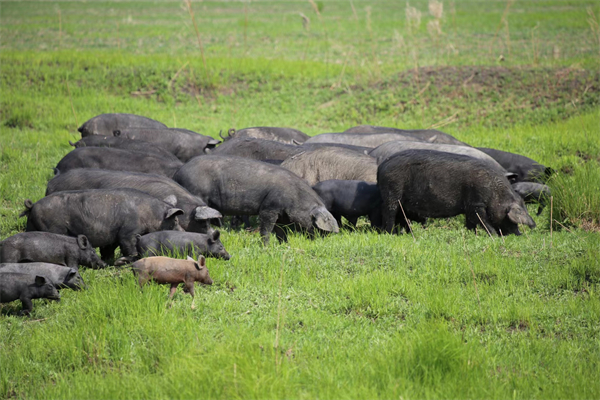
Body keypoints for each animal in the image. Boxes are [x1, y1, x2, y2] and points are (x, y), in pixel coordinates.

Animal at [21, 188, 184, 262]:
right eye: (175, 221)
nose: (183, 231)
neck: (151, 214)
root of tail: (33, 206)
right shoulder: (128, 232)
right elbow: (129, 246)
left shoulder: (112, 236)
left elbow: (108, 249)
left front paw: (109, 260)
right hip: (54, 228)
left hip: (31, 226)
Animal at [172, 155, 338, 244]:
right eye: (318, 225)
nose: (322, 240)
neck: (295, 197)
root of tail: (178, 173)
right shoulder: (269, 208)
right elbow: (266, 228)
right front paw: (266, 246)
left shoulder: (281, 214)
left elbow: (281, 231)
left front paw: (285, 244)